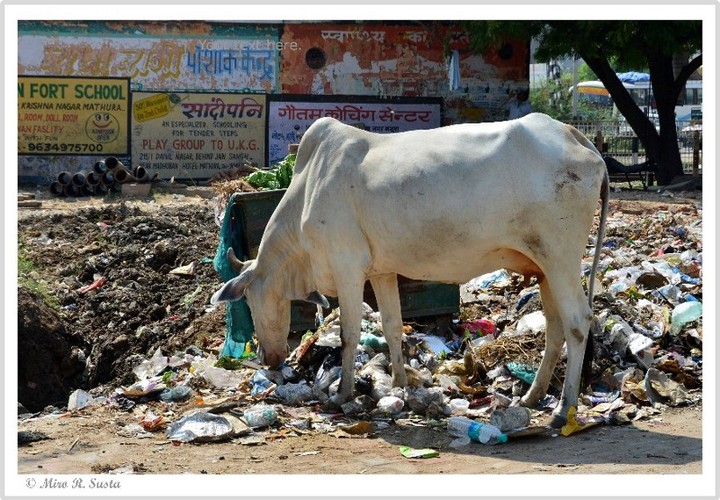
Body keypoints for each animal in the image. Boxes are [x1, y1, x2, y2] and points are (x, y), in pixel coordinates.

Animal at [212, 113, 609, 427]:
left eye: (250, 300)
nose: (267, 358)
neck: (308, 188)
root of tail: (570, 132)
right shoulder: (381, 273)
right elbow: (391, 327)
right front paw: (401, 385)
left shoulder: (347, 267)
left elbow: (349, 334)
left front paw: (342, 394)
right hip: (544, 267)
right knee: (555, 328)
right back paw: (532, 397)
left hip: (560, 258)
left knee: (577, 322)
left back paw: (563, 409)